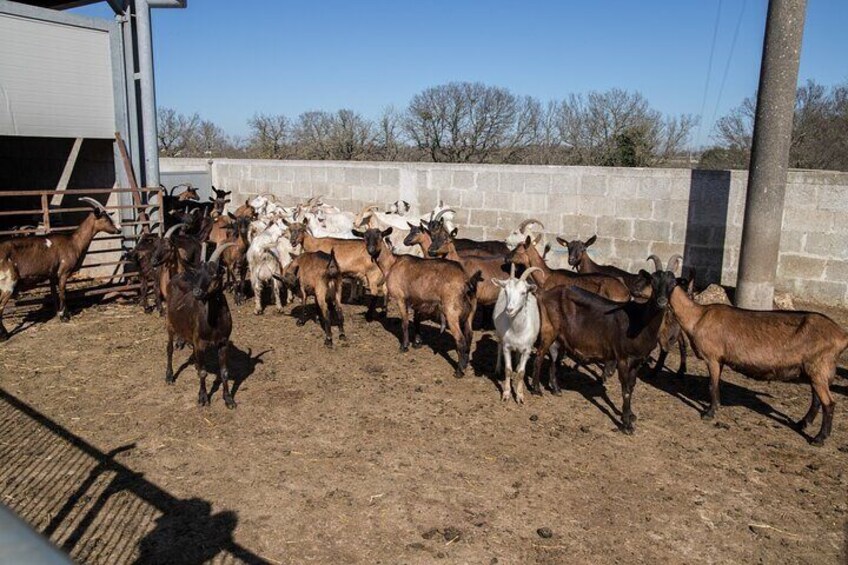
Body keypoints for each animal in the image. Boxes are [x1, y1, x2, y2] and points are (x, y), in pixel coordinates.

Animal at [0, 198, 120, 338]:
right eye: (106, 219)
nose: (119, 230)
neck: (73, 242)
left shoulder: (52, 274)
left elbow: (55, 293)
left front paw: (59, 313)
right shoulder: (64, 271)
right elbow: (63, 292)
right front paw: (64, 316)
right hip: (9, 282)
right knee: (0, 306)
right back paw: (4, 335)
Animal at [490, 264, 544, 400]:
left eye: (523, 292)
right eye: (506, 291)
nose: (509, 310)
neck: (517, 330)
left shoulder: (527, 349)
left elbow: (521, 372)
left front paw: (520, 395)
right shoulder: (507, 347)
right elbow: (508, 370)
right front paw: (506, 393)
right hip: (499, 333)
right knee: (499, 346)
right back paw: (497, 368)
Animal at [668, 284, 848, 442]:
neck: (698, 316)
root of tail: (841, 335)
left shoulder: (712, 358)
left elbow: (712, 385)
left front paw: (709, 413)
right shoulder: (720, 360)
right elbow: (716, 384)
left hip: (819, 368)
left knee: (829, 403)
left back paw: (819, 438)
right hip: (815, 371)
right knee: (816, 399)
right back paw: (802, 423)